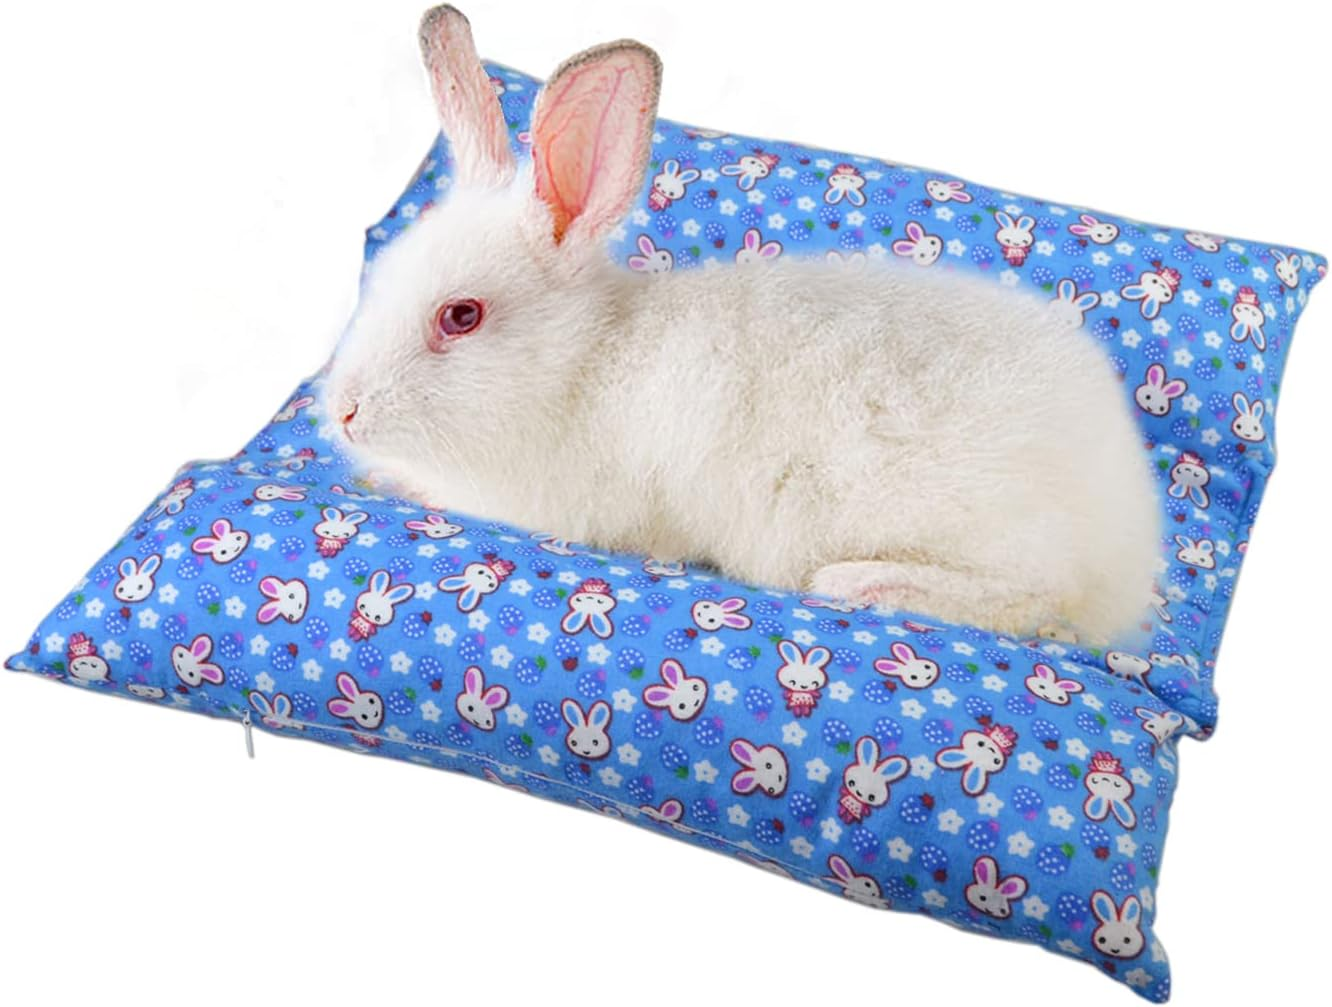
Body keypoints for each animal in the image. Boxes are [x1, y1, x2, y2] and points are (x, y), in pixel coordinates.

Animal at [323, 4, 1162, 642]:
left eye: (460, 316)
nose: (344, 410)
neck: (582, 363)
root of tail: (1126, 531)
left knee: (1036, 596)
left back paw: (859, 582)